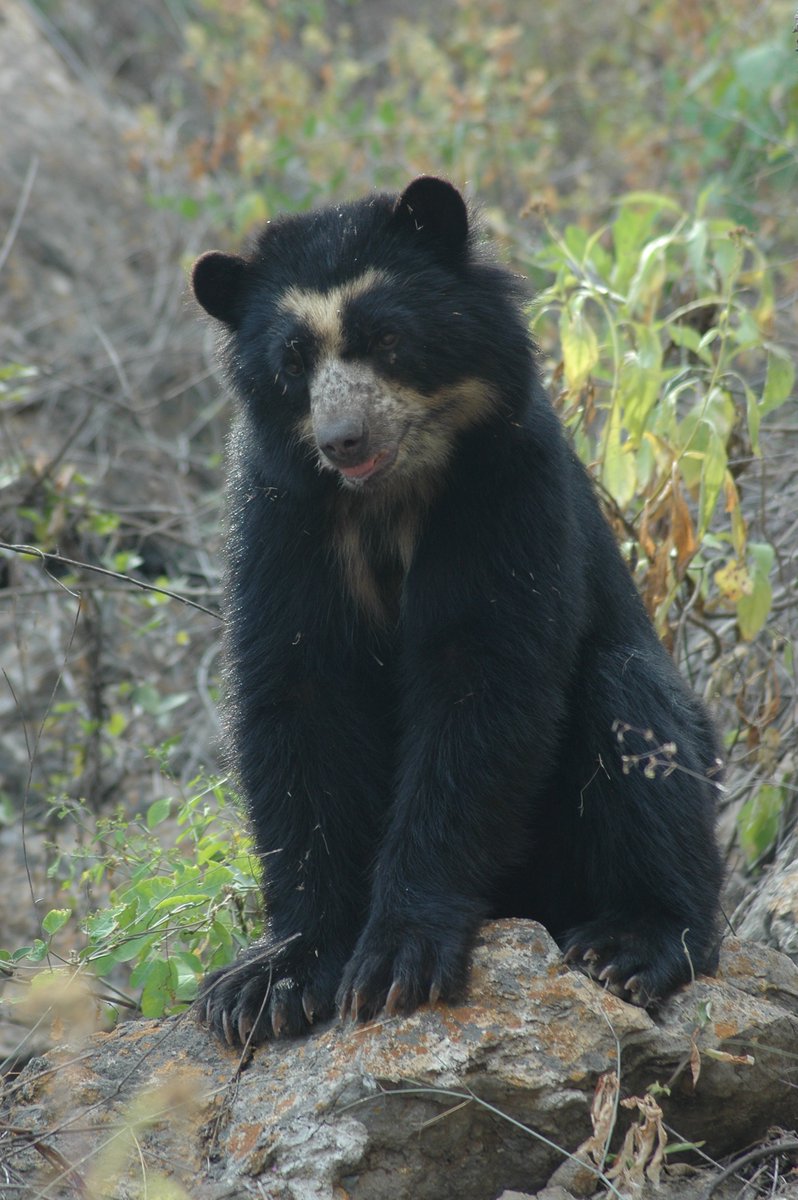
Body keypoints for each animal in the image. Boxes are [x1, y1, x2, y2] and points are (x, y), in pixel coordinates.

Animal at [191, 176, 723, 1046]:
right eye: (293, 362)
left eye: (387, 338)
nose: (343, 440)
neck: (389, 492)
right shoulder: (283, 517)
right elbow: (299, 696)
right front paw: (270, 983)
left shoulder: (505, 484)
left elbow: (481, 679)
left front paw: (395, 961)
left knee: (636, 717)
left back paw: (630, 944)